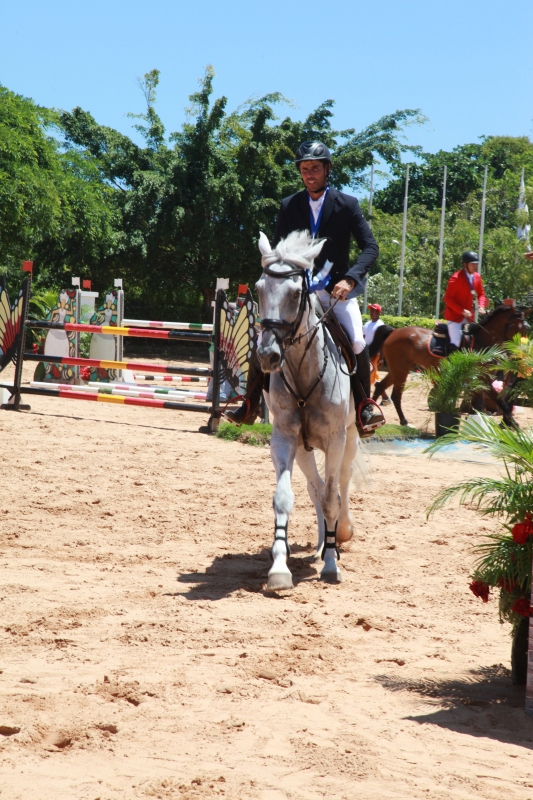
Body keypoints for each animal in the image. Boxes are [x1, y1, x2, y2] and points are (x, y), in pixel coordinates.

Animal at [255, 230, 358, 590]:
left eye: (296, 292)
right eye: (259, 288)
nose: (268, 356)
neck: (302, 369)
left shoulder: (336, 439)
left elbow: (331, 498)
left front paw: (331, 565)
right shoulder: (285, 438)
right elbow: (284, 498)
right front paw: (279, 568)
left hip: (350, 439)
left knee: (340, 485)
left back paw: (339, 537)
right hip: (303, 449)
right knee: (316, 487)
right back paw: (322, 544)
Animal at [371, 306, 530, 426]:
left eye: (525, 330)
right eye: (516, 327)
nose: (518, 354)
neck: (481, 341)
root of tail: (394, 331)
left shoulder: (482, 379)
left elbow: (490, 402)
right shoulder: (481, 378)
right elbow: (497, 402)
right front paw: (514, 426)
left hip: (398, 369)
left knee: (380, 387)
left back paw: (371, 411)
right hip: (401, 370)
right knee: (396, 395)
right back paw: (402, 421)